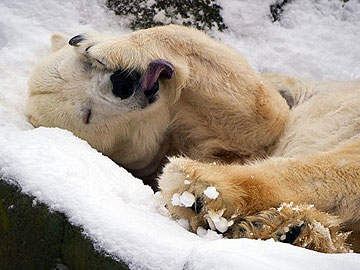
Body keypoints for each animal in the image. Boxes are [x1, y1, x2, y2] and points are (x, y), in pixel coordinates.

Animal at [26, 24, 360, 252]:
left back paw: (290, 229)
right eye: (87, 114)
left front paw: (97, 43)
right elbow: (263, 116)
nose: (123, 82)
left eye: (86, 67)